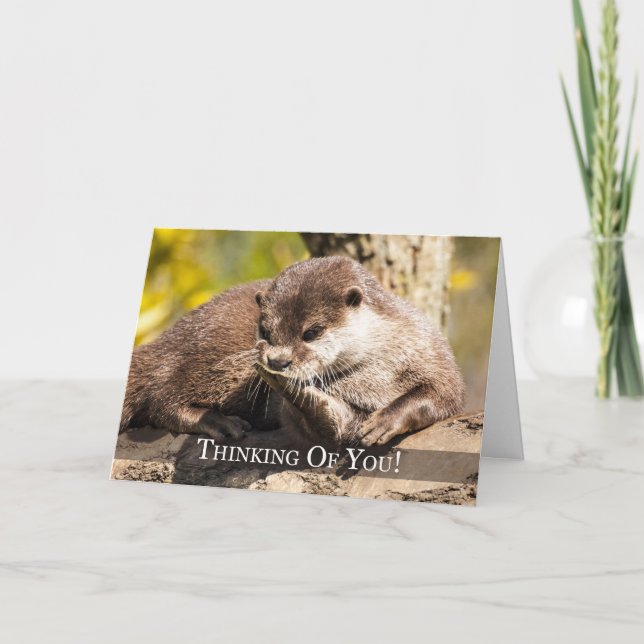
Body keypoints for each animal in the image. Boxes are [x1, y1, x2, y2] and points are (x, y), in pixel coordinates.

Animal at [120, 256, 464, 447]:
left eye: (311, 332)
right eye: (265, 332)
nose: (277, 360)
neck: (376, 370)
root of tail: (169, 339)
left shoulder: (430, 351)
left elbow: (442, 396)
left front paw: (384, 421)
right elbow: (316, 432)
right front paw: (296, 396)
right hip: (207, 358)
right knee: (162, 398)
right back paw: (218, 421)